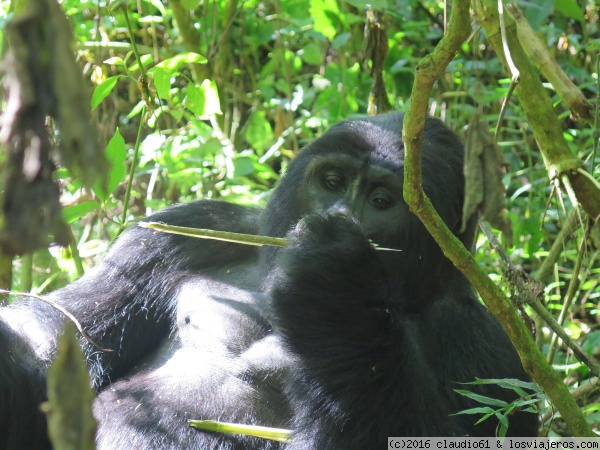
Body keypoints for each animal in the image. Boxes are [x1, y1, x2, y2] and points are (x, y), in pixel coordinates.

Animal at [0, 113, 536, 450]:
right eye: (332, 182)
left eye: (383, 201)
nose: (337, 216)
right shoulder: (179, 231)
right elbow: (66, 338)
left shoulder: (485, 347)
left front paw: (336, 291)